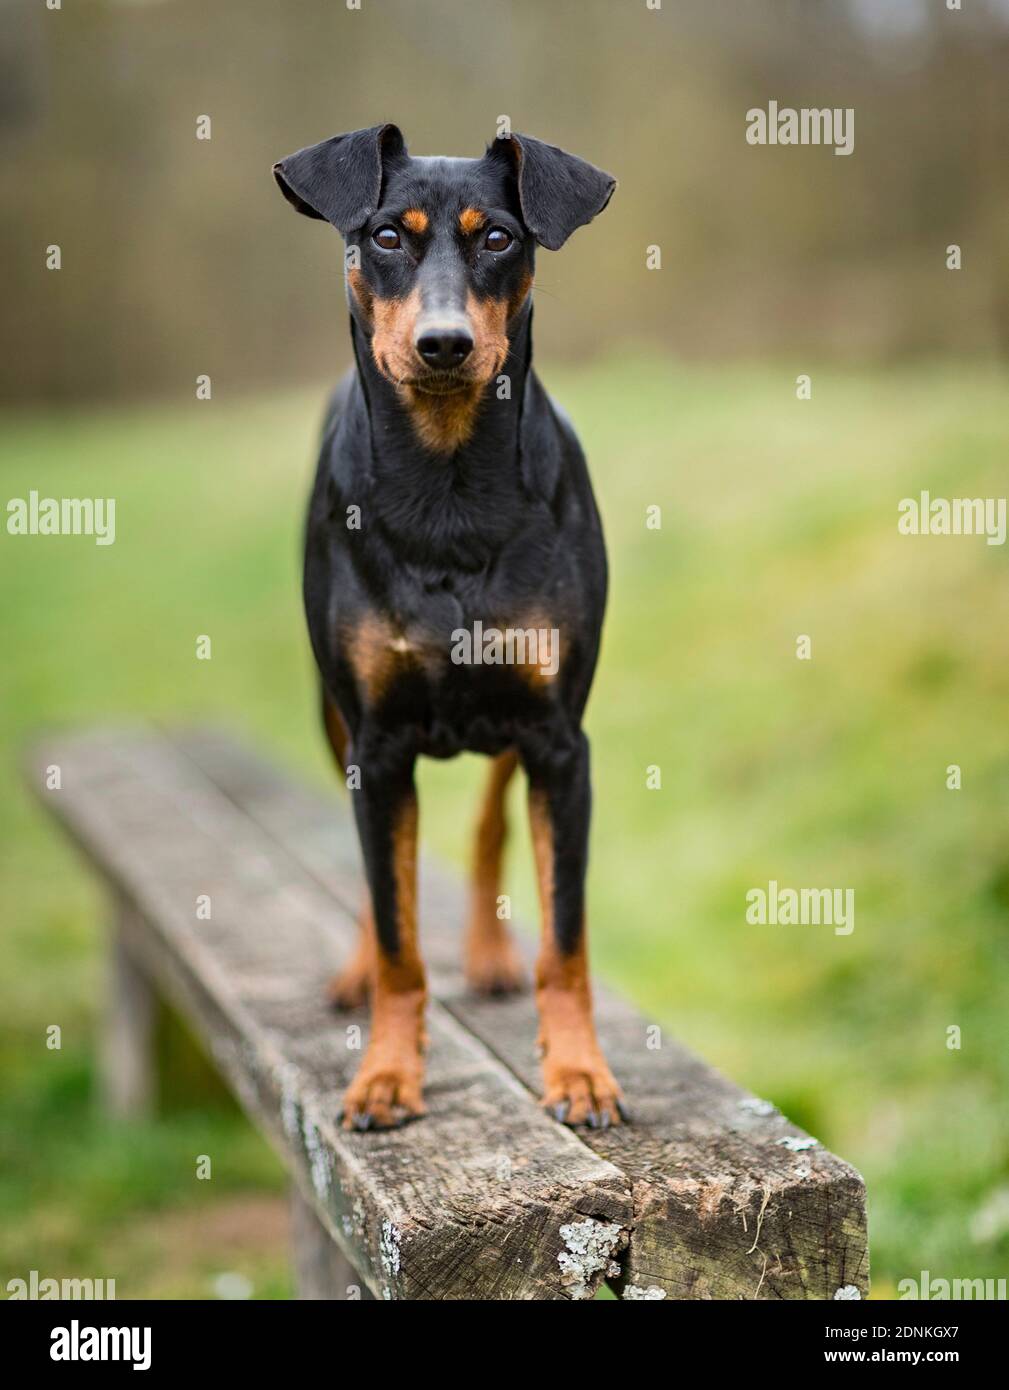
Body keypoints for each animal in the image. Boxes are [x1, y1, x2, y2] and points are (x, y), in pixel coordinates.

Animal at [276, 122, 625, 1128]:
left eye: (499, 236)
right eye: (387, 235)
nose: (443, 344)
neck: (445, 488)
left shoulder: (558, 738)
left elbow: (566, 936)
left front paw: (579, 1072)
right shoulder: (378, 740)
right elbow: (398, 934)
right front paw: (386, 1075)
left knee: (486, 827)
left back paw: (490, 956)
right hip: (335, 720)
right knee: (373, 876)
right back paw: (356, 971)